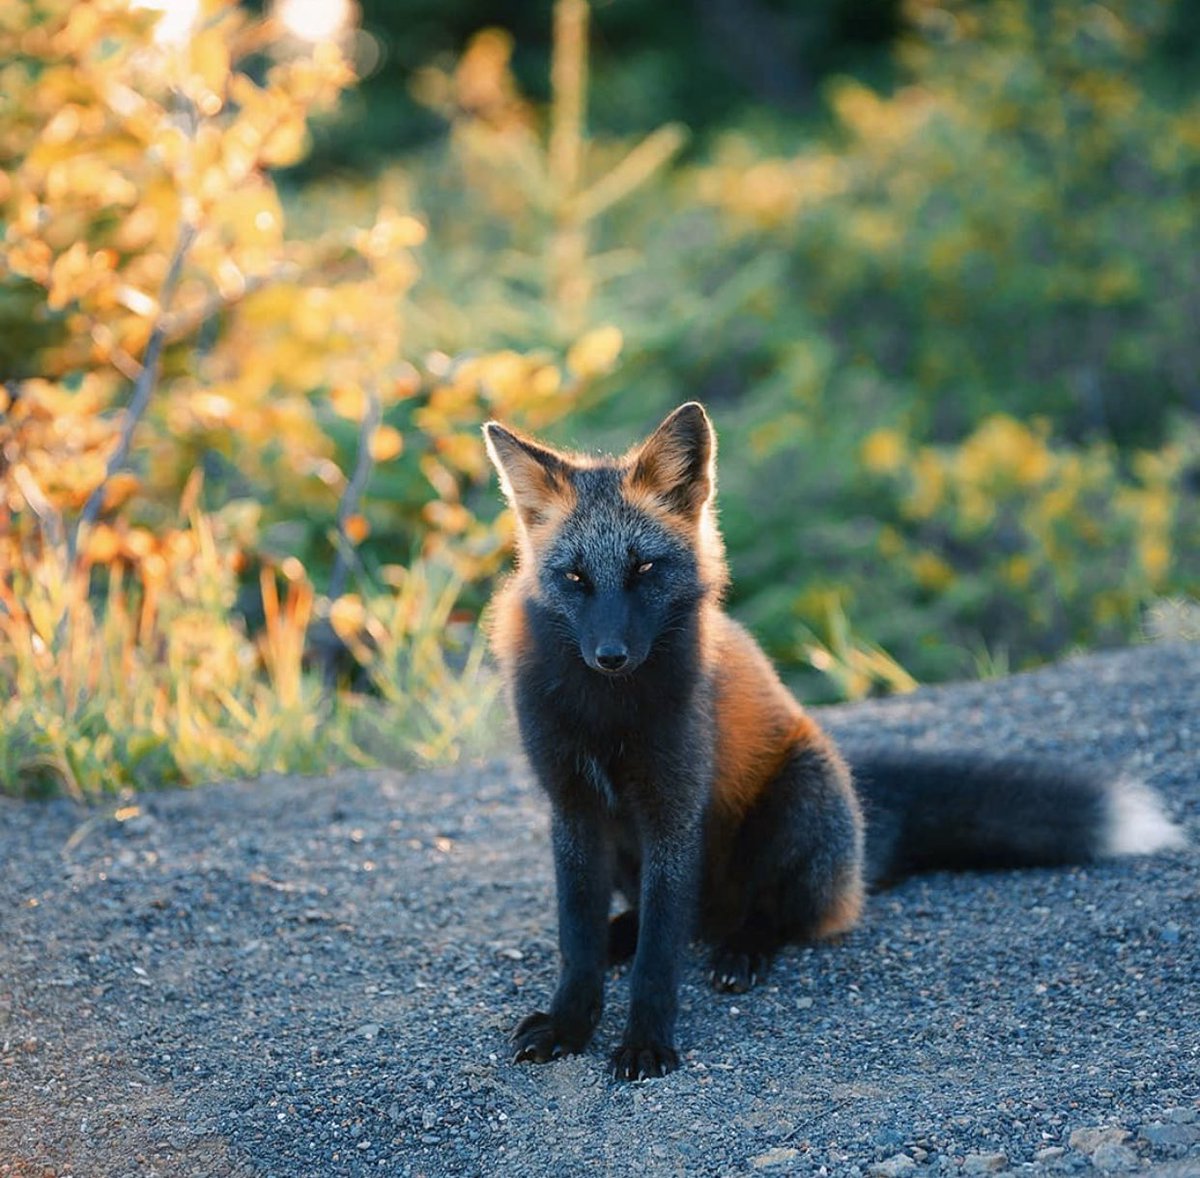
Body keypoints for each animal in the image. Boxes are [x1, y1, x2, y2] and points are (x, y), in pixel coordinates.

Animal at [482, 401, 1186, 1081]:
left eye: (645, 568)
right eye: (575, 578)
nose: (610, 656)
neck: (607, 717)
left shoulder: (674, 809)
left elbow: (660, 958)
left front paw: (646, 1041)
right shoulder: (573, 807)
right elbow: (578, 944)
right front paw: (570, 1025)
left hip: (800, 799)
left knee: (770, 914)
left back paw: (743, 949)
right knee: (673, 919)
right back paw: (625, 933)